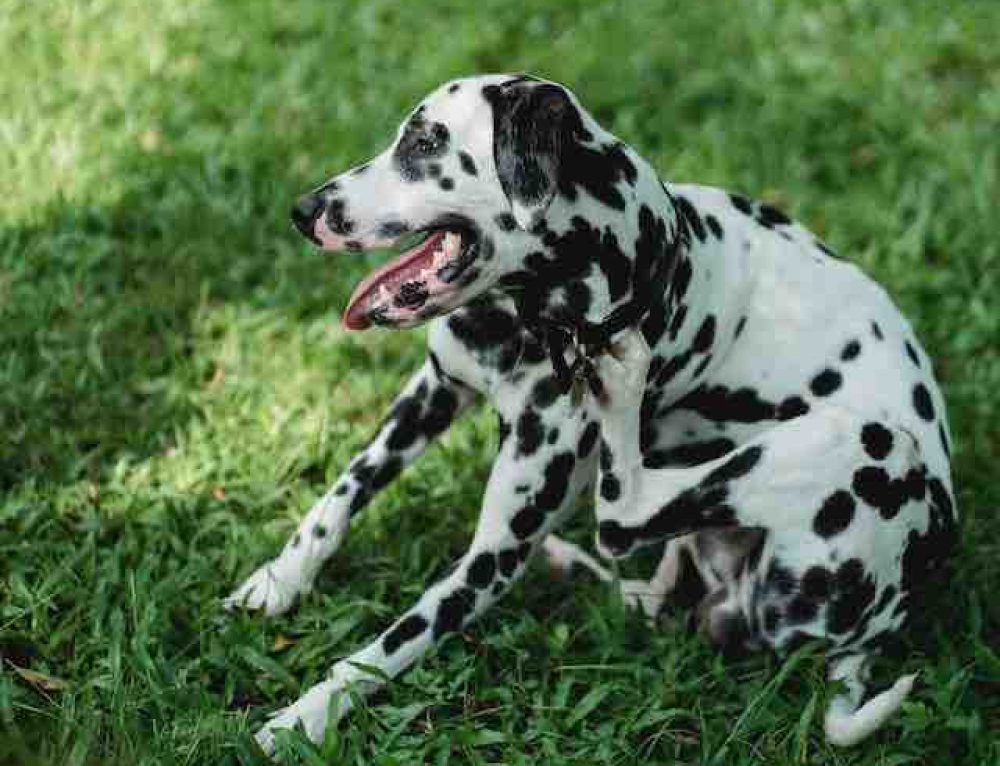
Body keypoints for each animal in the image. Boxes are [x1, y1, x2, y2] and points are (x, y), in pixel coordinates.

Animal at [223, 75, 956, 752]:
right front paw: (278, 581)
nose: (304, 210)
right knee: (642, 580)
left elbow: (383, 651)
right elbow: (341, 494)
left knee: (622, 512)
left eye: (427, 142)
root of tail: (880, 626)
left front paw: (305, 716)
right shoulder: (435, 391)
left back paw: (621, 384)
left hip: (866, 443)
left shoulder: (492, 557)